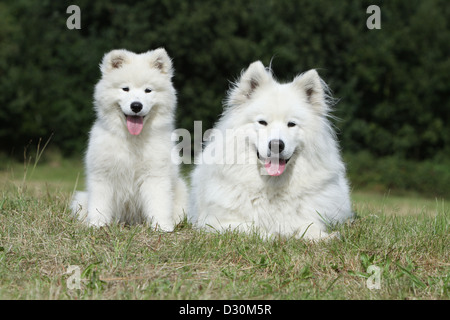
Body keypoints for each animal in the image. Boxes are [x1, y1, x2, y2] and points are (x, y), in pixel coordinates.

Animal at [71, 48, 187, 230]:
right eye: (125, 89)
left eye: (148, 90)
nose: (136, 106)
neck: (133, 140)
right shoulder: (102, 175)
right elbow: (99, 203)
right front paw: (97, 224)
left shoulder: (155, 175)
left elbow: (159, 202)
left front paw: (161, 226)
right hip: (80, 199)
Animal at [188, 60, 354, 240]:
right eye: (262, 122)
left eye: (291, 124)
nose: (276, 145)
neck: (272, 184)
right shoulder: (219, 222)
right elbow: (253, 229)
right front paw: (274, 237)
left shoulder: (310, 216)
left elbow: (309, 226)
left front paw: (324, 237)